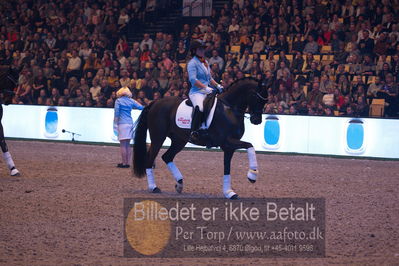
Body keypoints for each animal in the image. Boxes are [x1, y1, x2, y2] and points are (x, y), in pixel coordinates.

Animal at [133, 77, 268, 197]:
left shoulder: (229, 147)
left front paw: (229, 193)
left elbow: (227, 168)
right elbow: (250, 145)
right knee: (150, 158)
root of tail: (155, 102)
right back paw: (153, 187)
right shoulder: (227, 141)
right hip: (158, 138)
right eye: (257, 97)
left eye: (265, 101)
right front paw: (252, 174)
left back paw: (179, 184)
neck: (229, 109)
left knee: (167, 157)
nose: (257, 120)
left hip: (179, 140)